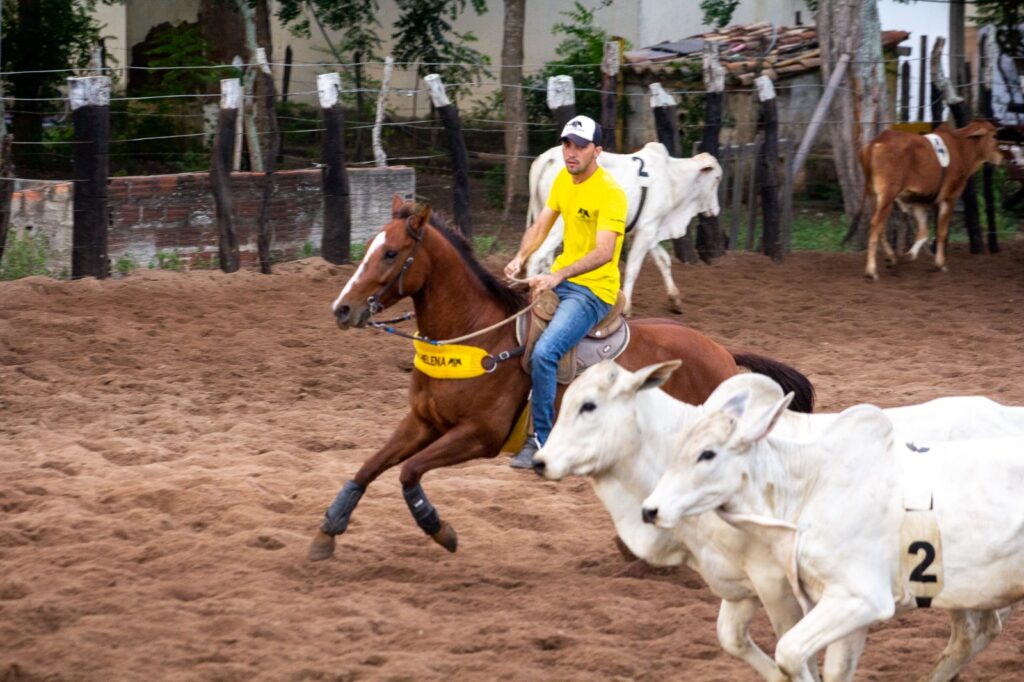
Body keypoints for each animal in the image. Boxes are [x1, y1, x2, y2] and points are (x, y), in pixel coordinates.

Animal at [307, 195, 811, 557]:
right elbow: (370, 466)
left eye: (391, 253)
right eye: (370, 248)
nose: (341, 309)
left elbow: (409, 472)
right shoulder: (422, 422)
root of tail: (724, 353)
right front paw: (328, 529)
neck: (476, 337)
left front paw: (440, 529)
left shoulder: (479, 435)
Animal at [528, 142, 720, 315]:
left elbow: (664, 260)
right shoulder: (647, 230)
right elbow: (633, 268)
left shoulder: (648, 230)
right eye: (717, 178)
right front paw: (626, 308)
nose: (716, 210)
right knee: (536, 257)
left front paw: (675, 300)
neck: (671, 178)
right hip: (558, 225)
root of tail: (549, 157)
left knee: (544, 259)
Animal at [532, 364, 1024, 679]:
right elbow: (732, 639)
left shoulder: (778, 584)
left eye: (588, 405)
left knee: (975, 633)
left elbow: (798, 654)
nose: (540, 461)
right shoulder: (739, 587)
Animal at [856, 118, 999, 278]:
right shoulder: (950, 198)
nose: (1001, 157)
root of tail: (877, 142)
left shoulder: (918, 200)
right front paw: (940, 264)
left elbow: (923, 231)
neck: (961, 147)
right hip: (888, 195)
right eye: (994, 136)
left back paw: (891, 258)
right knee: (876, 224)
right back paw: (871, 270)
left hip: (875, 196)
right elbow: (942, 232)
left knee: (878, 226)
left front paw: (909, 255)